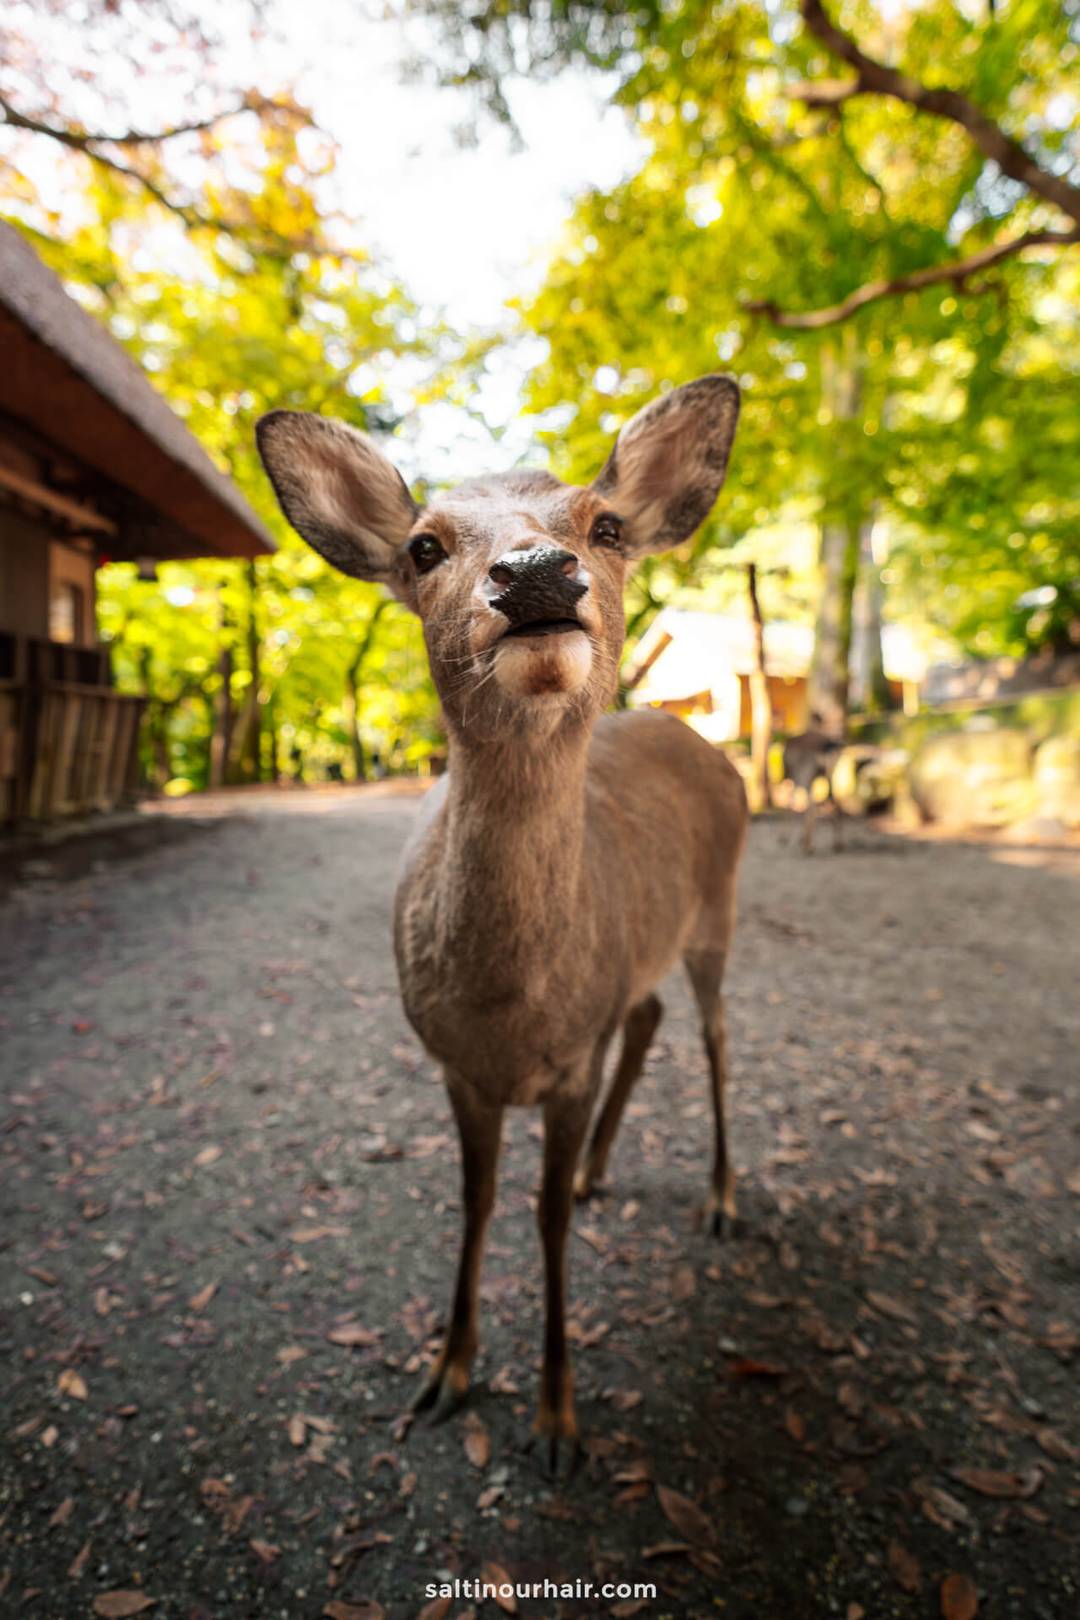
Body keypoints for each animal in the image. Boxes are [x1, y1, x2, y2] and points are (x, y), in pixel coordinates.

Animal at [255, 374, 747, 1474]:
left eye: (606, 526)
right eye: (423, 546)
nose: (532, 575)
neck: (514, 1011)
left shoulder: (569, 1064)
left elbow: (543, 1219)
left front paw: (559, 1419)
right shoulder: (454, 1065)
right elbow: (477, 1202)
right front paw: (448, 1371)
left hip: (721, 908)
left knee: (714, 1034)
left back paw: (722, 1199)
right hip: (645, 955)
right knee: (649, 1018)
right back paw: (606, 1172)